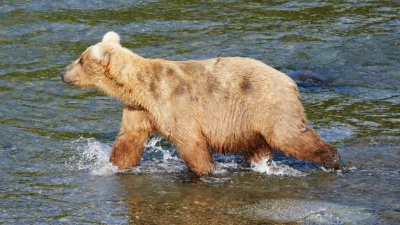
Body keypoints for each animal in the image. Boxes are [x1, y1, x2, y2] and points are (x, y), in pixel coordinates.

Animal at [59, 31, 340, 176]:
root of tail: (291, 82)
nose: (62, 72)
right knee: (258, 148)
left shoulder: (174, 103)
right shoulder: (140, 110)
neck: (139, 89)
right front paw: (113, 164)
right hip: (250, 123)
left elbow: (190, 141)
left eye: (80, 60)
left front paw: (204, 172)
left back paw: (332, 160)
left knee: (290, 135)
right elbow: (129, 140)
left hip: (269, 105)